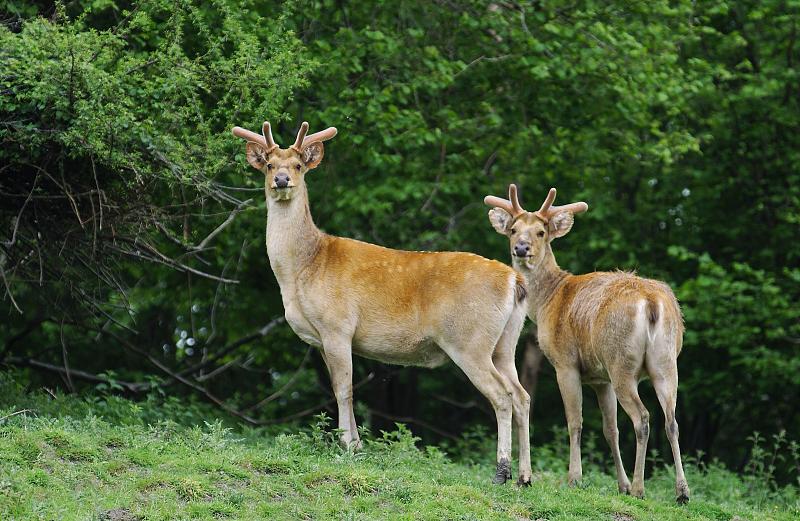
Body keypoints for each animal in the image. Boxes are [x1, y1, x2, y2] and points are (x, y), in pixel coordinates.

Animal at [231, 119, 532, 484]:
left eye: (299, 165)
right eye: (270, 164)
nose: (282, 180)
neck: (303, 268)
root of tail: (514, 281)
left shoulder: (337, 325)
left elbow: (343, 389)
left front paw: (348, 446)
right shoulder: (321, 339)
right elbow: (339, 387)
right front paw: (356, 445)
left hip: (469, 338)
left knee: (502, 395)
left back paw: (502, 471)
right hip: (504, 343)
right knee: (522, 395)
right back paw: (525, 477)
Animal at [484, 184, 692, 504]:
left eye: (541, 232)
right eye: (514, 229)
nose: (521, 248)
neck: (546, 302)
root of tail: (651, 302)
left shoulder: (565, 362)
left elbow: (575, 421)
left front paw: (575, 478)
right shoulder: (599, 377)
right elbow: (610, 429)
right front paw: (621, 485)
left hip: (621, 363)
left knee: (643, 418)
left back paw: (640, 489)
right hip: (665, 363)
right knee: (671, 421)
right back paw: (681, 492)